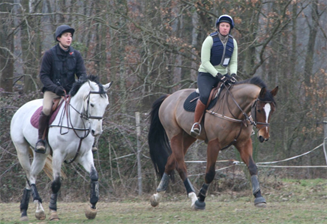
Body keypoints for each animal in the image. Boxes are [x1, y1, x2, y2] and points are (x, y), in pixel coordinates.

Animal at [10, 75, 113, 220]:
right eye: (91, 104)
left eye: (106, 104)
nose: (96, 131)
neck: (77, 124)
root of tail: (21, 108)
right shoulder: (58, 154)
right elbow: (56, 183)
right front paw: (53, 211)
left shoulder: (85, 155)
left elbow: (94, 176)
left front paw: (92, 207)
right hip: (22, 150)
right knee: (30, 175)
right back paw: (39, 210)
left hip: (40, 155)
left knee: (30, 176)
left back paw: (25, 211)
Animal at [149, 77, 280, 210]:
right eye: (259, 110)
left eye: (273, 110)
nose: (264, 136)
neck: (234, 111)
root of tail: (169, 97)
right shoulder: (214, 144)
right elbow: (210, 173)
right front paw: (200, 200)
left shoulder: (243, 143)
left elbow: (252, 167)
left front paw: (259, 197)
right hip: (174, 135)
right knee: (180, 166)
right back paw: (193, 197)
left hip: (188, 137)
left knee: (170, 163)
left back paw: (157, 196)